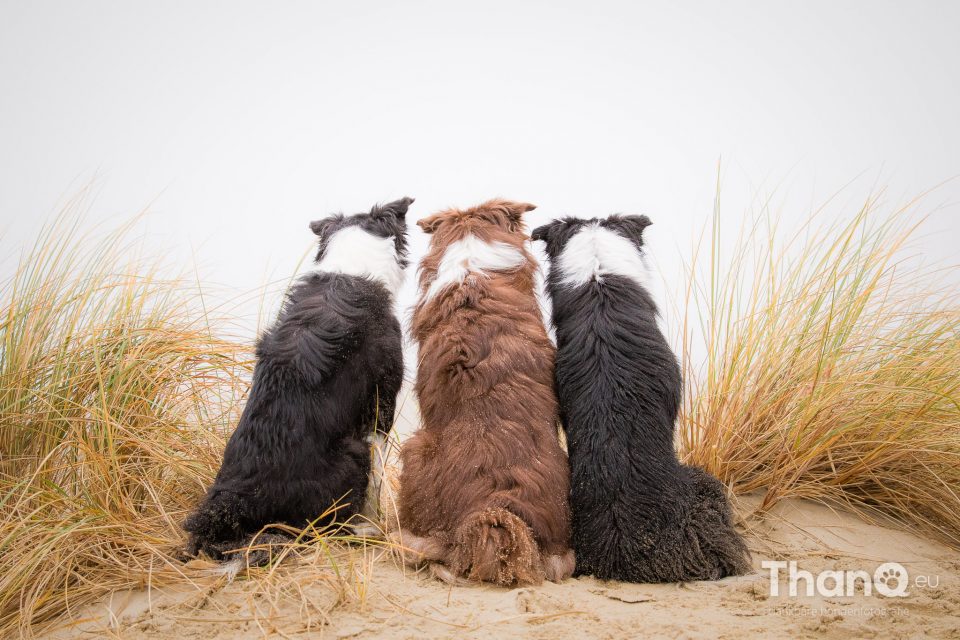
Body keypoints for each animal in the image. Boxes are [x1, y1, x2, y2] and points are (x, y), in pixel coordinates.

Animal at [184, 196, 412, 560]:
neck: (351, 266)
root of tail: (234, 501)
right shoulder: (380, 404)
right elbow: (378, 477)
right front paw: (375, 517)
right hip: (351, 453)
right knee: (322, 528)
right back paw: (362, 530)